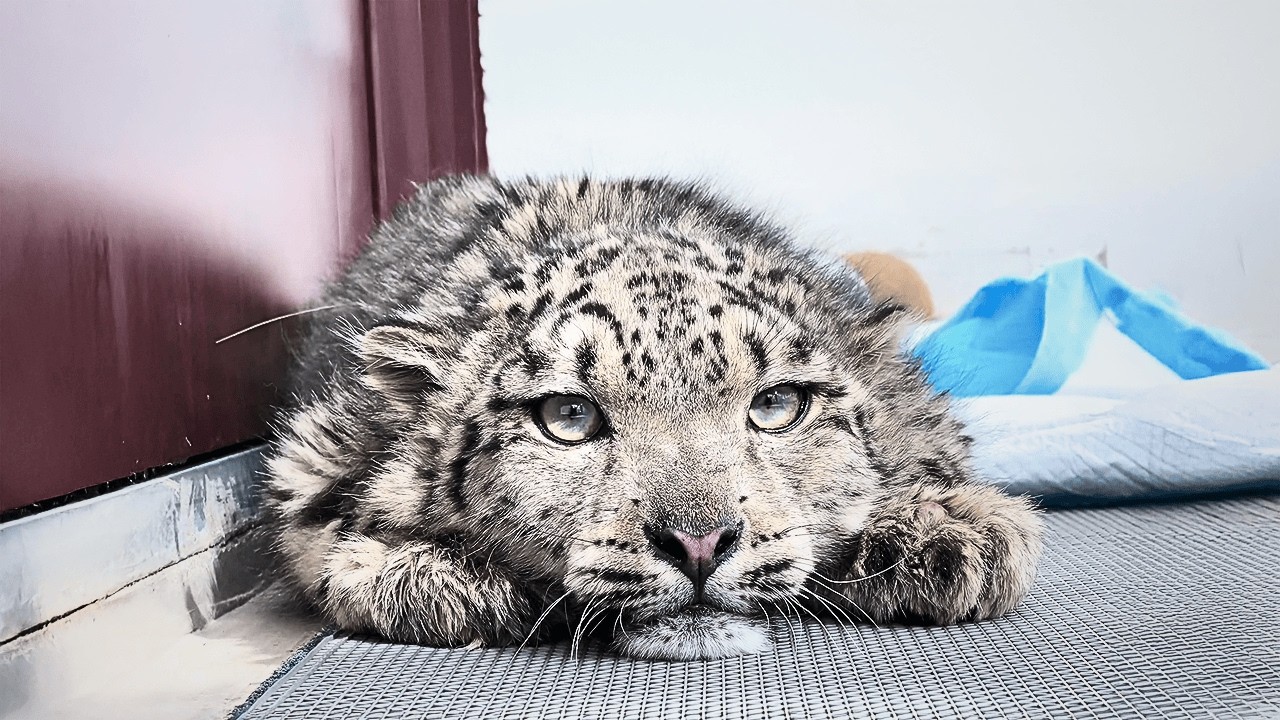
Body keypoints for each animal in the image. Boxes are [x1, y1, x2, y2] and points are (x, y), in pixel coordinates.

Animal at [264, 175, 1042, 660]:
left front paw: (949, 535)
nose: (700, 543)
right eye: (567, 414)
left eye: (777, 405)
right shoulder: (310, 458)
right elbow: (328, 541)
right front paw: (451, 581)